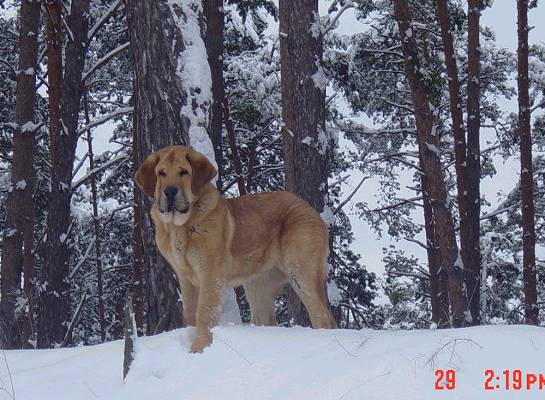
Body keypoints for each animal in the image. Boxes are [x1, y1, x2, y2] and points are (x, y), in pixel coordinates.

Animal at [134, 145, 334, 352]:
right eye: (161, 173)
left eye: (184, 172)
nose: (170, 191)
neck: (180, 227)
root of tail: (311, 209)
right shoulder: (185, 276)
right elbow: (190, 313)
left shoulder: (211, 274)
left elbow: (204, 312)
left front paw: (199, 349)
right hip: (258, 287)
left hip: (302, 273)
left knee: (323, 316)